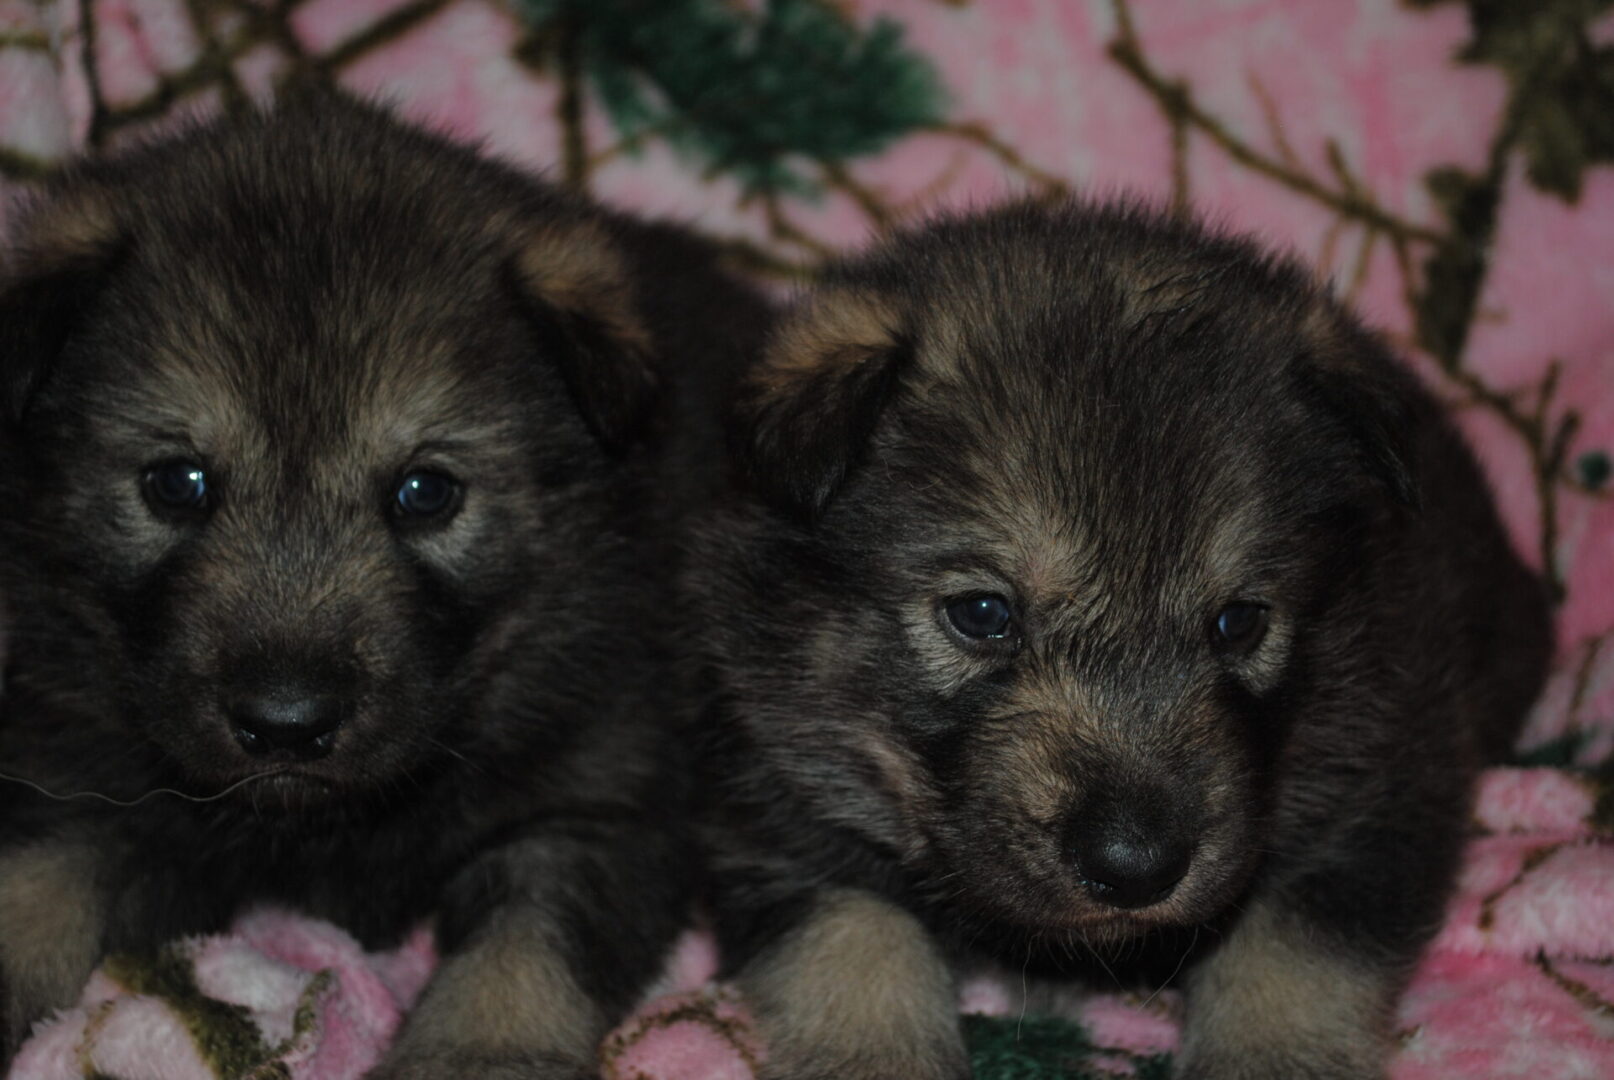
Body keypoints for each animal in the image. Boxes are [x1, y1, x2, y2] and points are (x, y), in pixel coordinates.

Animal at [0, 94, 761, 1078]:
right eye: (175, 482)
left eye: (425, 491)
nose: (286, 724)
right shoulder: (82, 771)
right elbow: (34, 884)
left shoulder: (598, 804)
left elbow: (523, 949)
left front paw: (478, 1050)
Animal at [694, 200, 1549, 1078]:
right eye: (982, 613)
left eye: (1239, 621)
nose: (1136, 868)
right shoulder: (778, 811)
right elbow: (854, 947)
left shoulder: (1380, 784)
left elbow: (1288, 953)